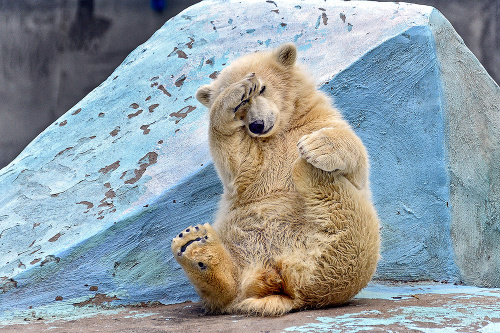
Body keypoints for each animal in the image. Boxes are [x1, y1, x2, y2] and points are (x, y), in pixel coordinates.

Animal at [171, 42, 378, 316]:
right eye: (242, 106)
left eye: (263, 88)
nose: (257, 125)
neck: (283, 127)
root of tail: (282, 284)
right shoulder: (258, 155)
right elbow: (237, 160)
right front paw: (234, 92)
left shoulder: (319, 119)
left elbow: (357, 163)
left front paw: (316, 147)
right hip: (239, 243)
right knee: (229, 287)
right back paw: (195, 246)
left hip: (350, 253)